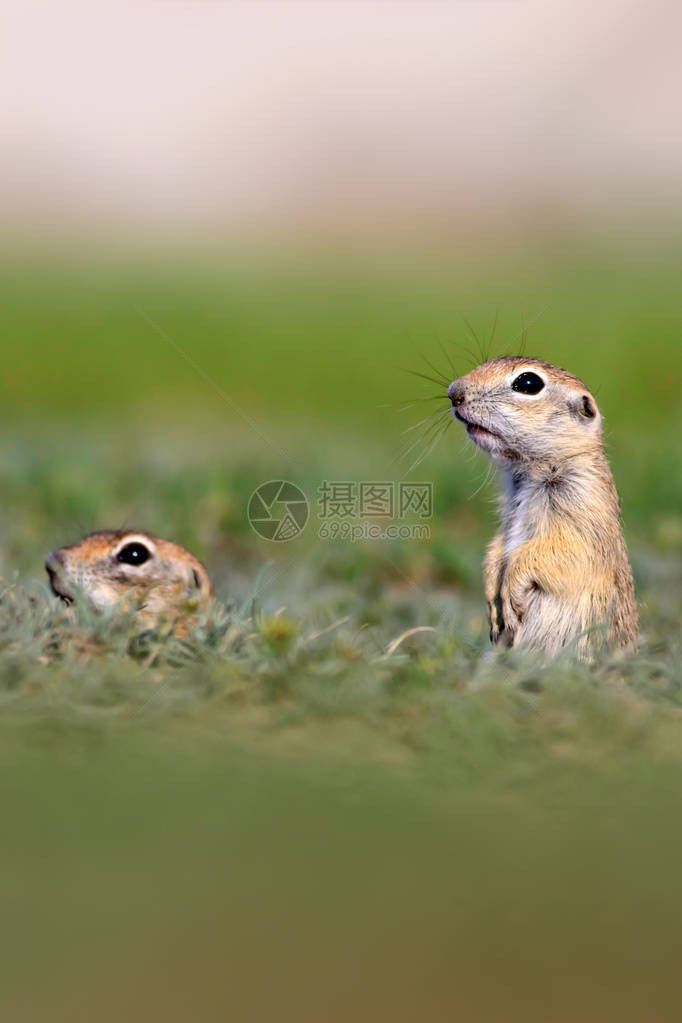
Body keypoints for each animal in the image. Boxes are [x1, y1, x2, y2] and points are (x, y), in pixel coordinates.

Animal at [447, 360, 642, 658]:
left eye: (528, 383)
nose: (453, 392)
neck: (530, 471)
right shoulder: (509, 515)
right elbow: (496, 548)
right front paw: (493, 603)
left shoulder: (582, 507)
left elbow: (561, 552)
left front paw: (510, 594)